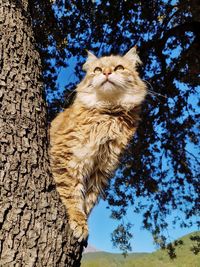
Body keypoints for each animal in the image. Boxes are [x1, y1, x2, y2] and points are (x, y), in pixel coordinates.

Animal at [50, 47, 147, 244]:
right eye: (97, 70)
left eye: (118, 68)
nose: (107, 73)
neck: (107, 115)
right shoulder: (67, 156)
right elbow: (72, 194)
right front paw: (79, 221)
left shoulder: (102, 168)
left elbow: (89, 200)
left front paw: (84, 221)